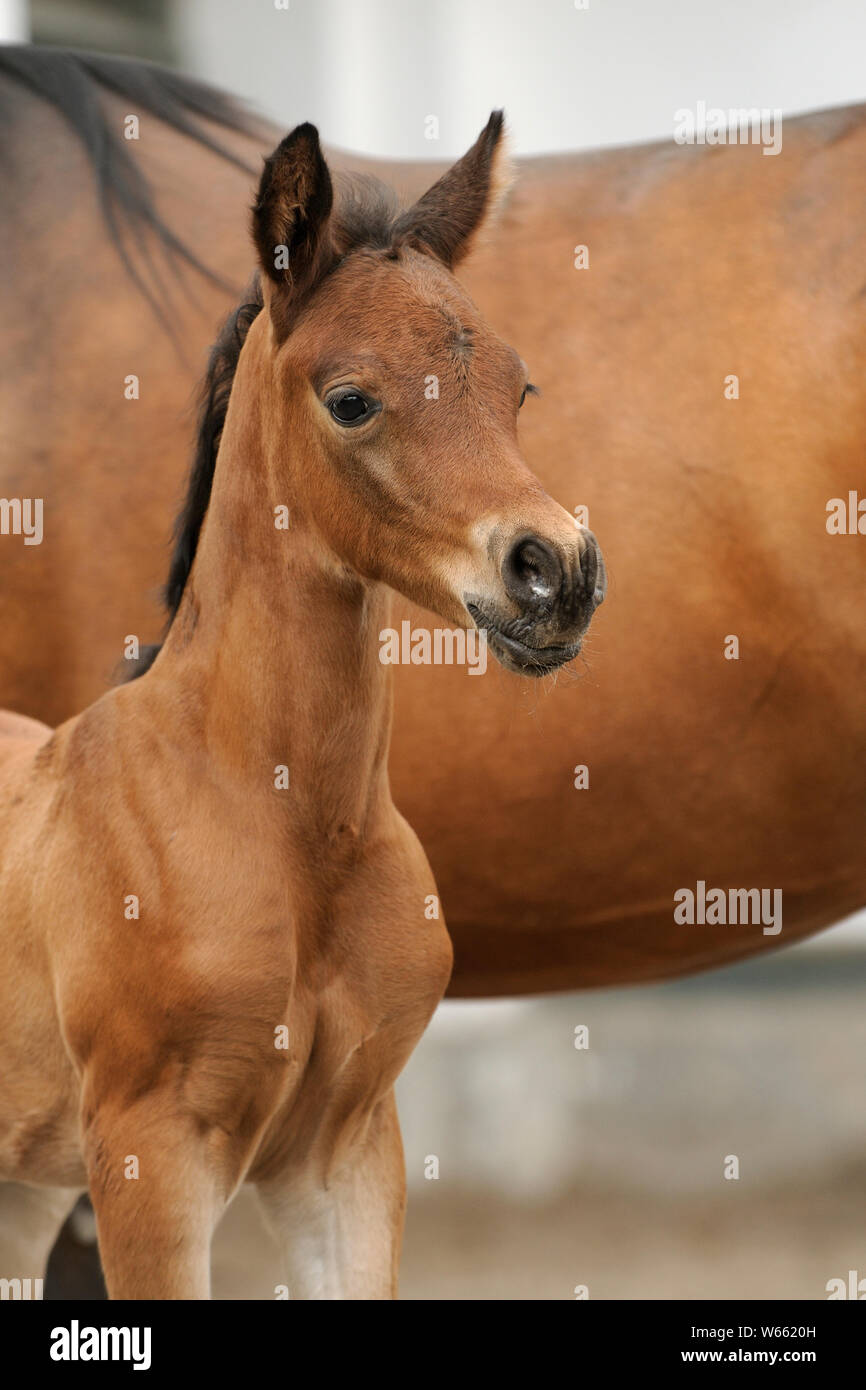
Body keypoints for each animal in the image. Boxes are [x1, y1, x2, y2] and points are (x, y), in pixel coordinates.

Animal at [0, 113, 603, 1299]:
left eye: (517, 388)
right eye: (351, 398)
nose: (555, 573)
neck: (282, 819)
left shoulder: (346, 1153)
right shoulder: (149, 1161)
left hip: (24, 1187)